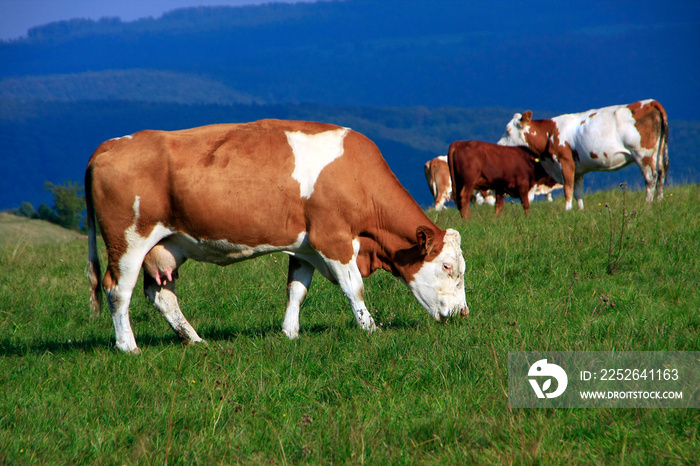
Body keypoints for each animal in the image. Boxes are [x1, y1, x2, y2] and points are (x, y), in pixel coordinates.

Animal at [87, 119, 470, 354]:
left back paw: (194, 340)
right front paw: (370, 329)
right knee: (117, 291)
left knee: (162, 295)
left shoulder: (305, 247)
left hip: (165, 246)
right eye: (448, 267)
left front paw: (290, 332)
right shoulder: (333, 239)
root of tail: (108, 145)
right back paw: (128, 346)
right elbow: (354, 288)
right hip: (128, 242)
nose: (463, 313)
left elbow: (297, 290)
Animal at [498, 99, 668, 210]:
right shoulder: (578, 169)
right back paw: (659, 202)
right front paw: (579, 211)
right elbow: (578, 192)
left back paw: (647, 204)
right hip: (658, 152)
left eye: (507, 130)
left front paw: (567, 210)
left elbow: (568, 189)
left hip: (643, 154)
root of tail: (650, 102)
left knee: (650, 178)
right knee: (661, 174)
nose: (499, 145)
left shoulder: (565, 161)